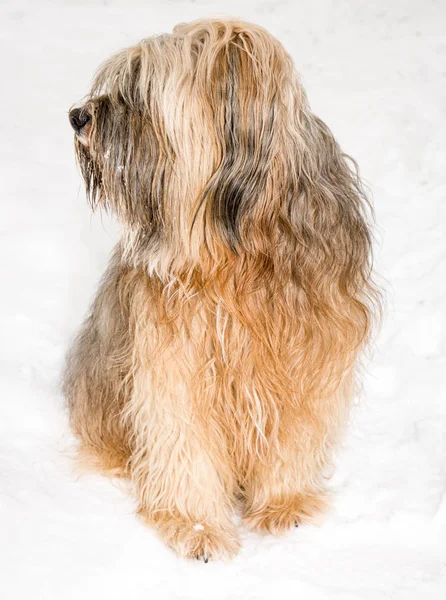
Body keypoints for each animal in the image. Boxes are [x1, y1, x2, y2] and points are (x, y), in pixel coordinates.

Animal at [63, 19, 380, 564]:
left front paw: (283, 506)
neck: (240, 248)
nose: (76, 115)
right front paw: (196, 528)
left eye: (139, 88)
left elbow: (294, 433)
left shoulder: (311, 351)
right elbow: (182, 441)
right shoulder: (174, 359)